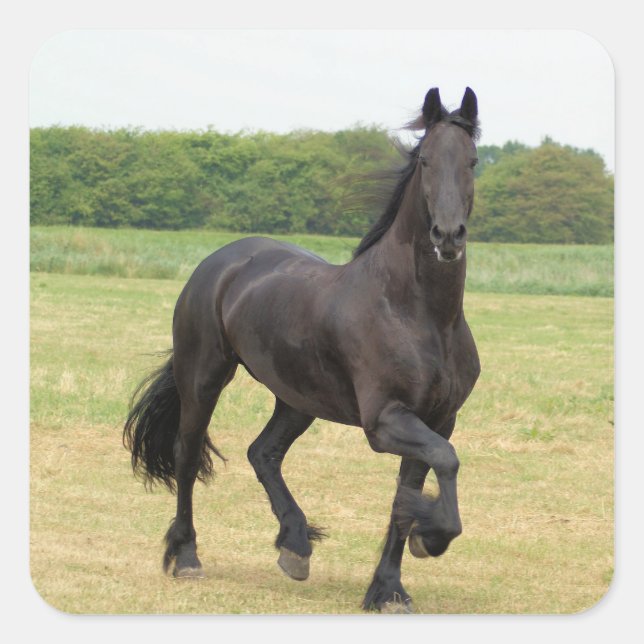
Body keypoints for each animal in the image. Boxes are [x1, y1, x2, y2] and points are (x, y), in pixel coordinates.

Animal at [123, 86, 481, 613]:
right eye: (425, 161)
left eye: (473, 161)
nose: (448, 236)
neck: (420, 315)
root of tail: (220, 261)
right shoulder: (385, 422)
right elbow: (447, 461)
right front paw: (430, 537)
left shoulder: (438, 418)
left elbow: (409, 492)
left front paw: (389, 587)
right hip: (204, 377)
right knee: (187, 456)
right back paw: (187, 557)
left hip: (296, 398)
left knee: (263, 453)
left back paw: (295, 546)